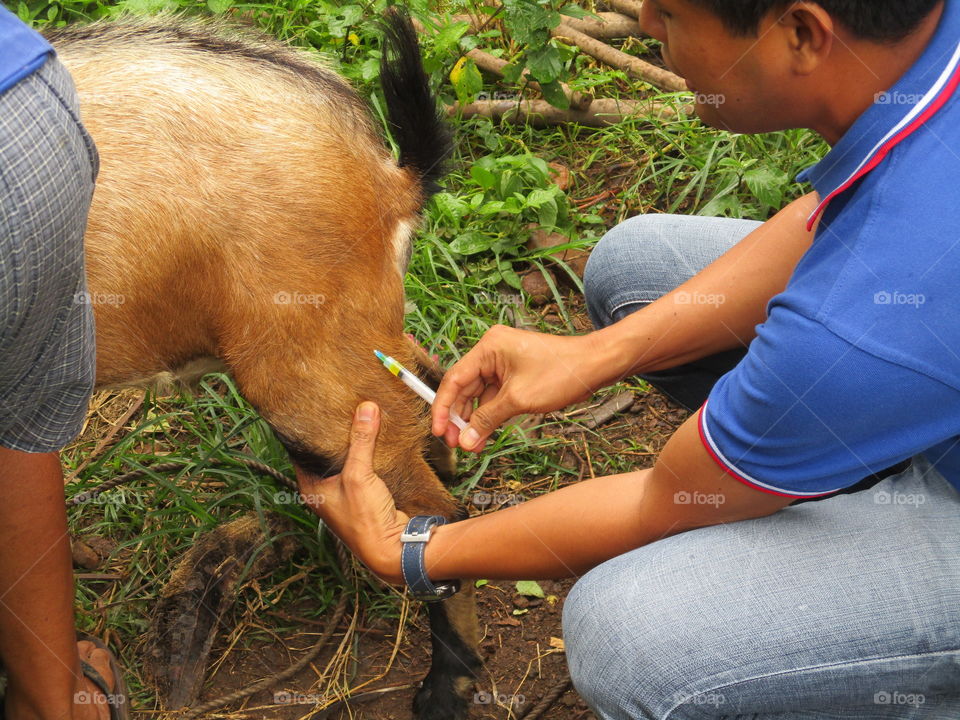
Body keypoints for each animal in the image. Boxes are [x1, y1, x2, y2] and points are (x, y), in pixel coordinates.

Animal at [46, 12, 480, 720]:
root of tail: (389, 177)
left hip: (312, 379)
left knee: (439, 515)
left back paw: (447, 688)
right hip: (359, 343)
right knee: (433, 386)